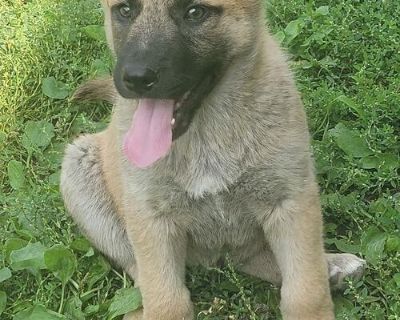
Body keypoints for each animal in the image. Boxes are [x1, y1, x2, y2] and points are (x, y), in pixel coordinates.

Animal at [60, 0, 366, 320]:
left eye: (195, 13)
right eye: (124, 10)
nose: (136, 78)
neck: (206, 132)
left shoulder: (290, 201)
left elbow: (306, 291)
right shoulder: (151, 219)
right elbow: (167, 300)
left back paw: (331, 266)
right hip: (78, 169)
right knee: (140, 279)